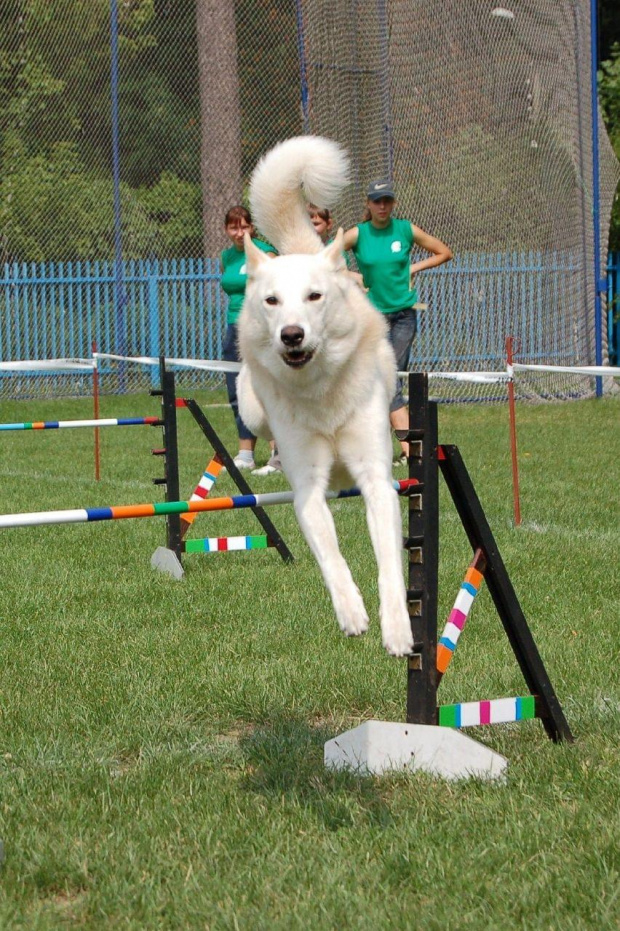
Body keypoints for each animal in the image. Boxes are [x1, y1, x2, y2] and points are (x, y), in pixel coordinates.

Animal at [237, 137, 412, 656]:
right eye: (272, 301)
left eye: (314, 297)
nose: (291, 335)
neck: (319, 393)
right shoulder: (308, 491)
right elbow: (331, 556)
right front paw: (351, 612)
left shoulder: (378, 482)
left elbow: (390, 565)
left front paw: (398, 630)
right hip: (253, 411)